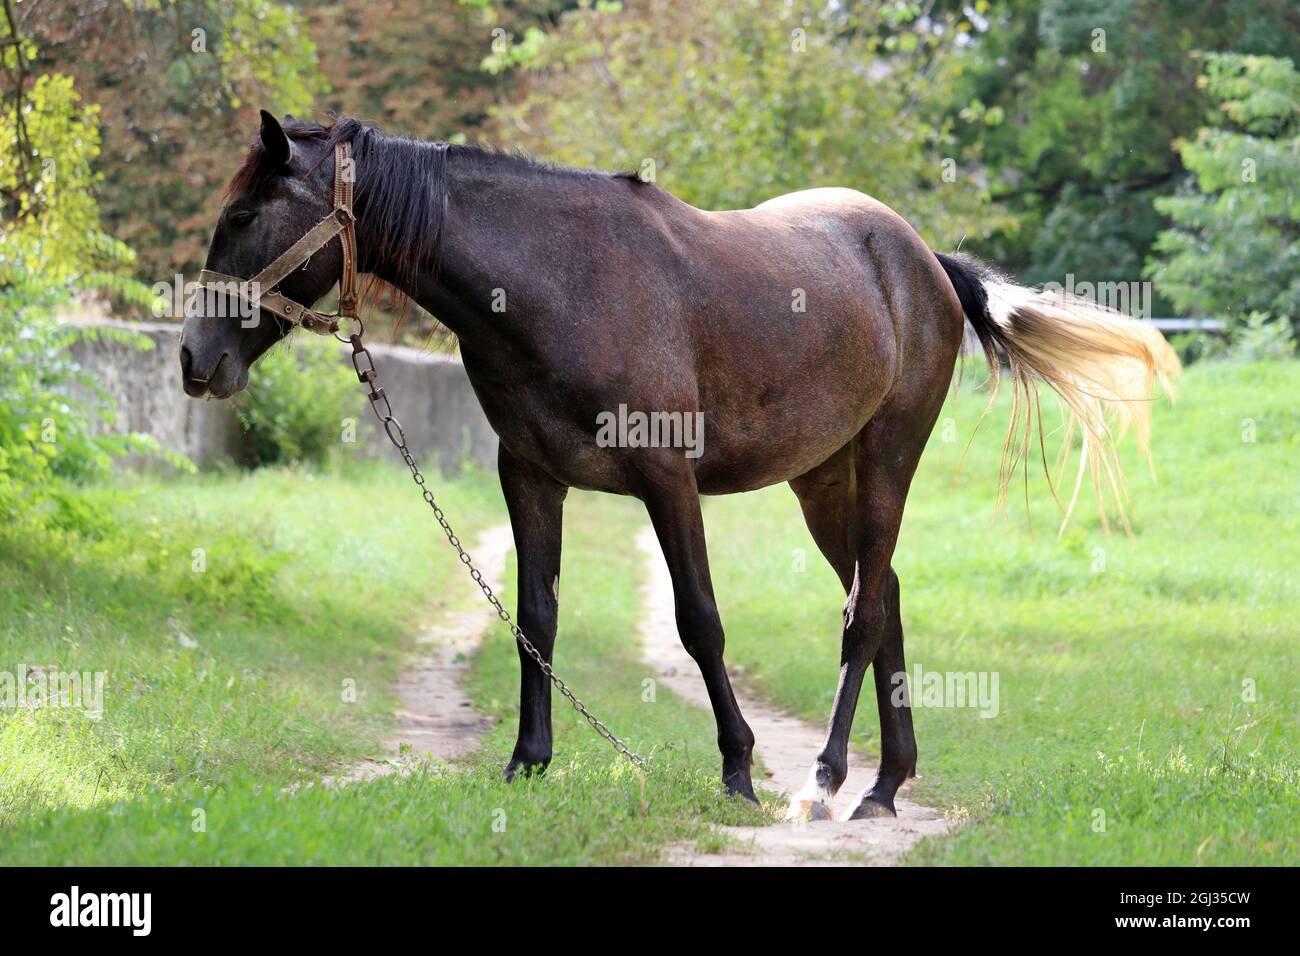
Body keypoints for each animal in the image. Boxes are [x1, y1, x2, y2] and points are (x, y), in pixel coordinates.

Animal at [180, 112, 1179, 821]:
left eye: (243, 216)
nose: (196, 359)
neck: (558, 280)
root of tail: (922, 261)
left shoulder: (666, 481)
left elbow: (700, 622)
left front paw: (737, 768)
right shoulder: (529, 477)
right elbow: (535, 620)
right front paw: (527, 763)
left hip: (888, 458)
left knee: (862, 615)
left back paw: (825, 778)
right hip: (825, 480)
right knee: (884, 598)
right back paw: (885, 784)